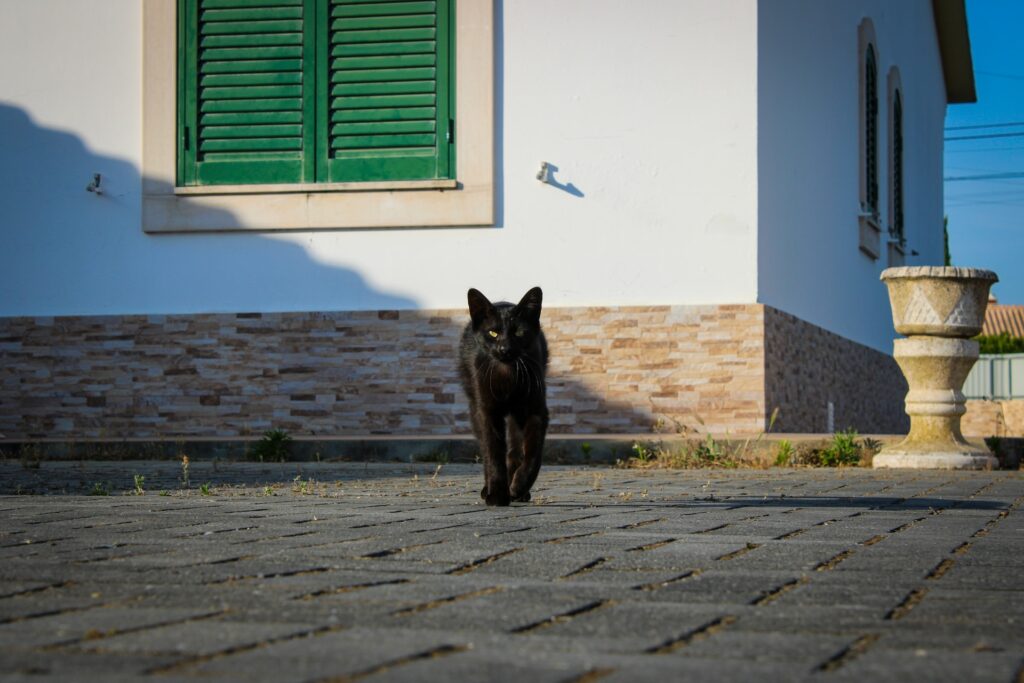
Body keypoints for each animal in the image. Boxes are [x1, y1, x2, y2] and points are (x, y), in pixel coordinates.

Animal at [460, 286, 548, 505]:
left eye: (519, 332)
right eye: (493, 332)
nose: (504, 348)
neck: (508, 375)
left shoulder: (536, 410)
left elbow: (533, 452)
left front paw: (520, 485)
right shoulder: (487, 411)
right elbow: (493, 452)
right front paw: (497, 494)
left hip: (517, 413)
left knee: (515, 449)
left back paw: (518, 491)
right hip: (475, 404)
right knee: (486, 447)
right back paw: (489, 489)